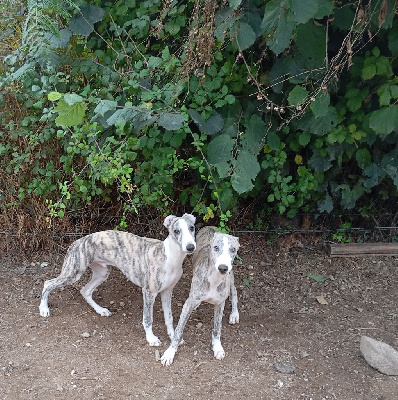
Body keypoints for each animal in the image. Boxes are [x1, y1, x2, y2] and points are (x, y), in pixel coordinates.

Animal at [38, 212, 197, 346]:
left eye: (192, 227)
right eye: (176, 231)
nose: (190, 247)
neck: (169, 256)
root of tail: (77, 241)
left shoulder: (167, 291)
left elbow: (169, 318)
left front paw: (173, 337)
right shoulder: (149, 292)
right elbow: (148, 319)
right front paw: (151, 339)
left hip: (102, 272)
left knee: (85, 290)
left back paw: (100, 310)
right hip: (73, 272)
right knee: (48, 283)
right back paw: (44, 309)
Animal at [161, 225, 239, 366]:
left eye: (233, 249)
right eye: (216, 248)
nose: (223, 268)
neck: (214, 279)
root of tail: (212, 226)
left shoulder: (220, 304)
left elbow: (217, 328)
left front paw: (217, 348)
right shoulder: (188, 304)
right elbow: (178, 331)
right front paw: (169, 353)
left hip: (231, 277)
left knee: (234, 292)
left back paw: (234, 314)